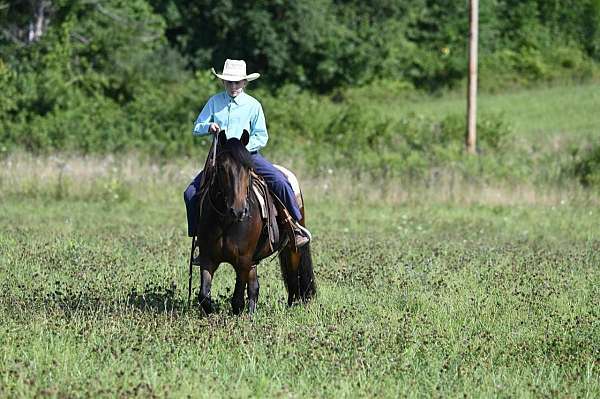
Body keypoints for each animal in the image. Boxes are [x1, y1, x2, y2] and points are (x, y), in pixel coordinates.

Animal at [190, 131, 316, 316]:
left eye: (248, 168)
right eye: (221, 168)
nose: (238, 210)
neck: (226, 222)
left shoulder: (242, 261)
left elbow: (237, 300)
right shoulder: (208, 259)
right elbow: (204, 295)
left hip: (292, 249)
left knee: (294, 277)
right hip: (253, 260)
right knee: (255, 286)